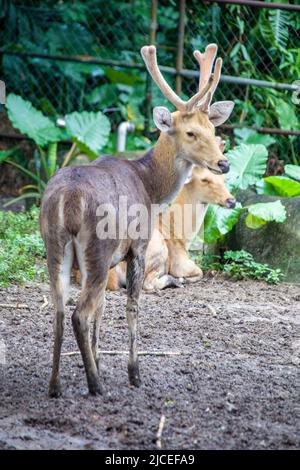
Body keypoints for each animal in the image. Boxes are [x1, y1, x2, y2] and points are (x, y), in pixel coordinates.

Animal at [106, 138, 236, 290]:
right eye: (205, 179)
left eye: (223, 178)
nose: (231, 201)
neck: (182, 236)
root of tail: (112, 276)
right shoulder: (180, 263)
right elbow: (200, 271)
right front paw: (183, 279)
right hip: (157, 248)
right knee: (147, 283)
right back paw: (176, 281)